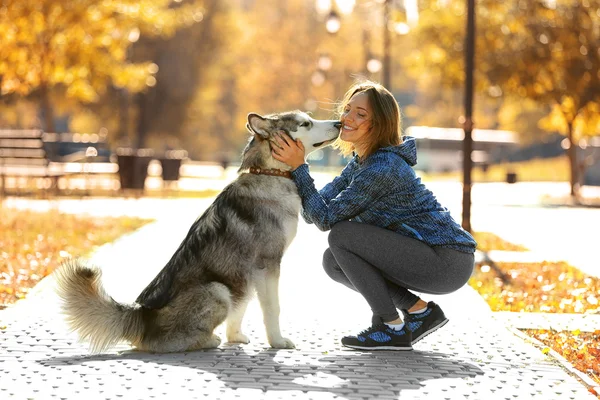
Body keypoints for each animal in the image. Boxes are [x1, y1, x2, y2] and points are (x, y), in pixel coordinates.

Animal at [55, 111, 342, 352]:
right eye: (305, 123)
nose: (339, 123)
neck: (269, 172)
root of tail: (142, 312)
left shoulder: (246, 274)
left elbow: (241, 307)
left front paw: (235, 337)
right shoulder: (267, 264)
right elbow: (273, 308)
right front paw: (277, 342)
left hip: (227, 285)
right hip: (217, 290)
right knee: (166, 343)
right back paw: (206, 341)